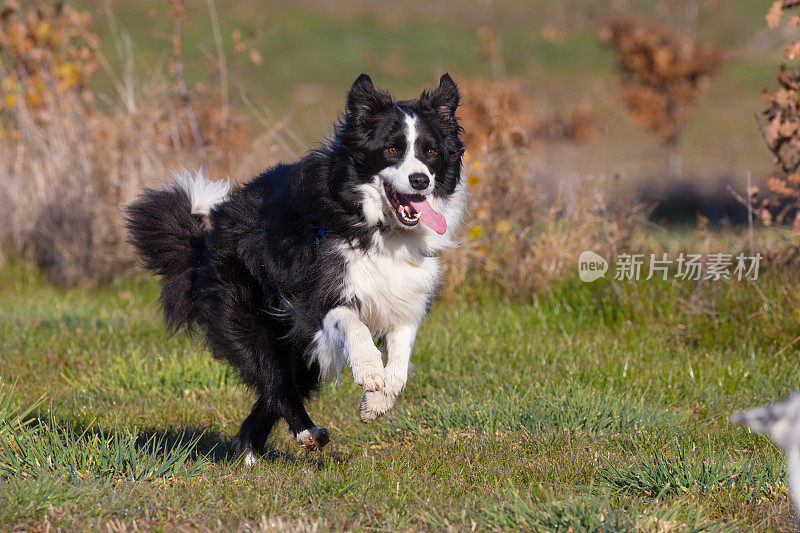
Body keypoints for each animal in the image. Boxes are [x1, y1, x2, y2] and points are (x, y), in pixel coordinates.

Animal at [126, 72, 468, 460]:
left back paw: (252, 447)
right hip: (247, 309)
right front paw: (369, 370)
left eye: (431, 152)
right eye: (392, 150)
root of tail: (205, 240)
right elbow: (352, 322)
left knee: (280, 385)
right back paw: (303, 432)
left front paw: (376, 402)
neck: (380, 228)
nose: (420, 181)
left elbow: (402, 355)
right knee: (275, 379)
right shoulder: (318, 293)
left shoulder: (405, 293)